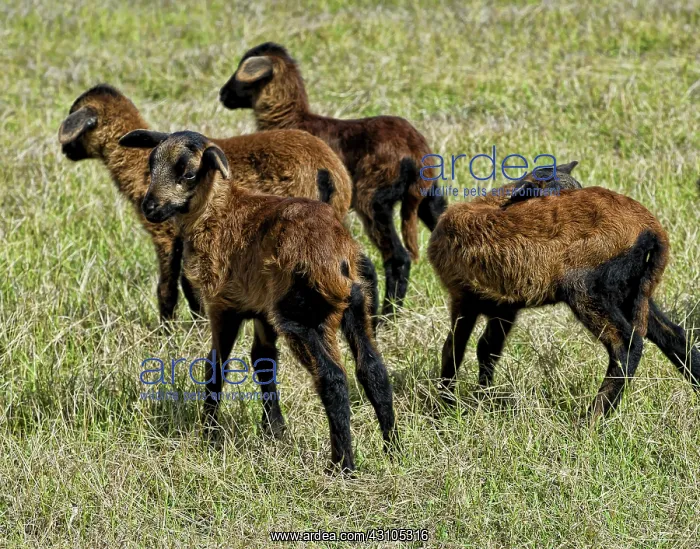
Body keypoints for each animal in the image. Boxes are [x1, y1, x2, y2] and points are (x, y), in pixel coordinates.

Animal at [57, 84, 364, 324]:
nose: (64, 150)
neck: (136, 167)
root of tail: (328, 169)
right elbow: (188, 283)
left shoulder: (166, 233)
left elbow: (169, 288)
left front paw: (168, 330)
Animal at [119, 129, 397, 473]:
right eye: (151, 164)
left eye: (188, 173)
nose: (150, 207)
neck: (217, 211)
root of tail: (336, 258)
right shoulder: (263, 311)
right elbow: (264, 362)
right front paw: (275, 433)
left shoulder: (223, 306)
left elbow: (216, 368)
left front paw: (209, 436)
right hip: (358, 305)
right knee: (373, 370)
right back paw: (394, 450)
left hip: (303, 315)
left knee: (332, 379)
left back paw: (342, 465)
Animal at [219, 42, 446, 317]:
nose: (222, 94)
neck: (290, 117)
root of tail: (415, 149)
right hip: (430, 197)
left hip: (373, 199)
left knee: (398, 257)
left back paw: (386, 317)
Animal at [428, 183, 700, 420]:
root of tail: (651, 229)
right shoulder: (504, 307)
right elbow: (486, 349)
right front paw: (481, 401)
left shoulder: (465, 298)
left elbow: (454, 350)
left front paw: (444, 410)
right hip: (630, 290)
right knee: (673, 335)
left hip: (585, 286)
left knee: (626, 343)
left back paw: (591, 422)